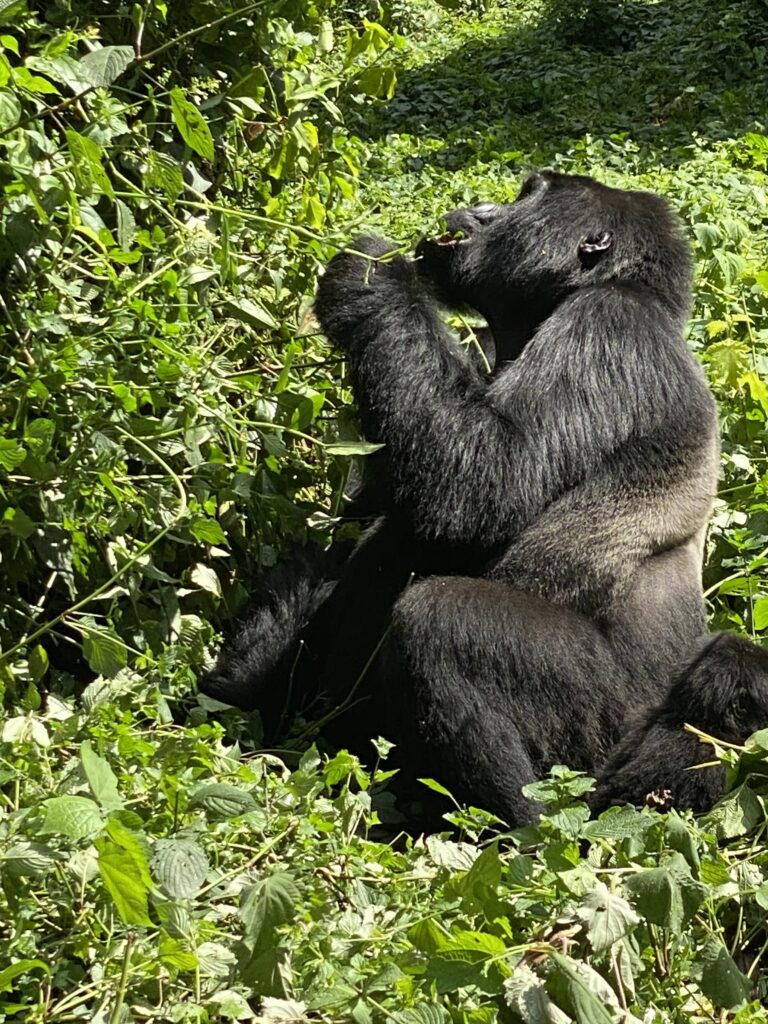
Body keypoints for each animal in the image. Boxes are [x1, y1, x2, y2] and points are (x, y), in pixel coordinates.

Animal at [199, 167, 768, 823]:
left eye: (529, 195)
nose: (478, 208)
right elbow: (375, 507)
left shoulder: (609, 326)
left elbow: (481, 483)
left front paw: (373, 277)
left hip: (606, 744)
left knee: (442, 621)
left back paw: (508, 827)